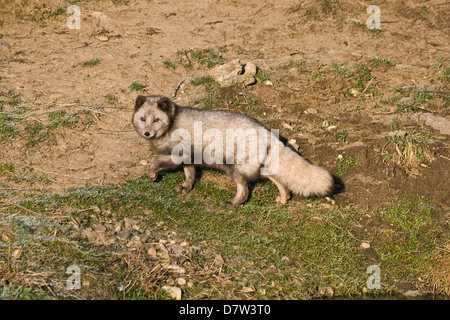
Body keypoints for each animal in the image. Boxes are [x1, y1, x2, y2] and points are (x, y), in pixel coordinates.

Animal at [132, 95, 332, 208]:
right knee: (278, 180)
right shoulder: (189, 157)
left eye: (156, 120)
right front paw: (186, 187)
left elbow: (157, 161)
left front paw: (152, 174)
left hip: (236, 168)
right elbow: (190, 174)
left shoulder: (179, 154)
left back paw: (233, 203)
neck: (173, 124)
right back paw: (283, 198)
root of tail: (265, 131)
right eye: (142, 119)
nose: (147, 133)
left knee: (244, 191)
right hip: (257, 166)